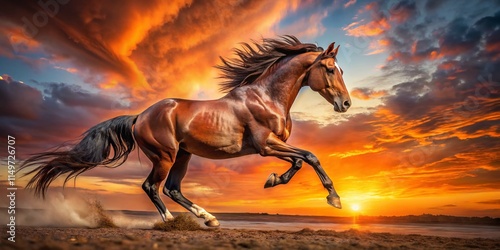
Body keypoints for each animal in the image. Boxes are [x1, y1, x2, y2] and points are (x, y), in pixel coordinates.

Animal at [20, 35, 352, 227]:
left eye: (342, 69)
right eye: (330, 70)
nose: (346, 104)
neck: (266, 97)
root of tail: (139, 116)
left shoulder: (269, 146)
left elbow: (298, 161)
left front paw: (272, 180)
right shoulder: (265, 145)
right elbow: (309, 156)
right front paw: (334, 199)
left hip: (183, 155)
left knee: (172, 188)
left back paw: (210, 219)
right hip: (164, 156)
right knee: (152, 187)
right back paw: (169, 221)